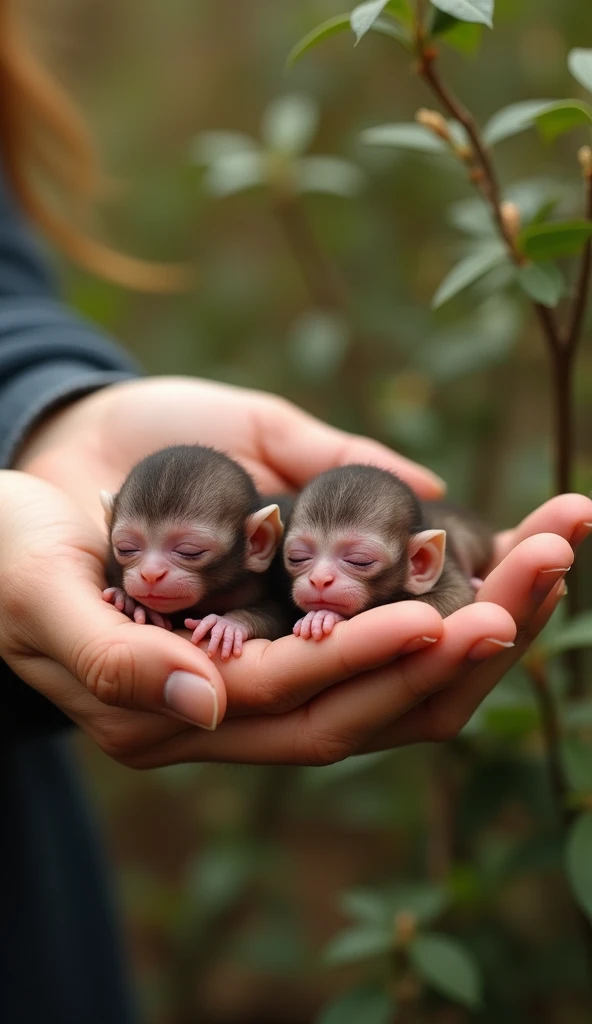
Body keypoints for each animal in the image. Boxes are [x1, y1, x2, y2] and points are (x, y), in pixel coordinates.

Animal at [102, 446, 286, 655]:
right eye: (126, 549)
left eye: (190, 551)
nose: (151, 574)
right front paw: (129, 603)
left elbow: (278, 615)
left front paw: (229, 624)